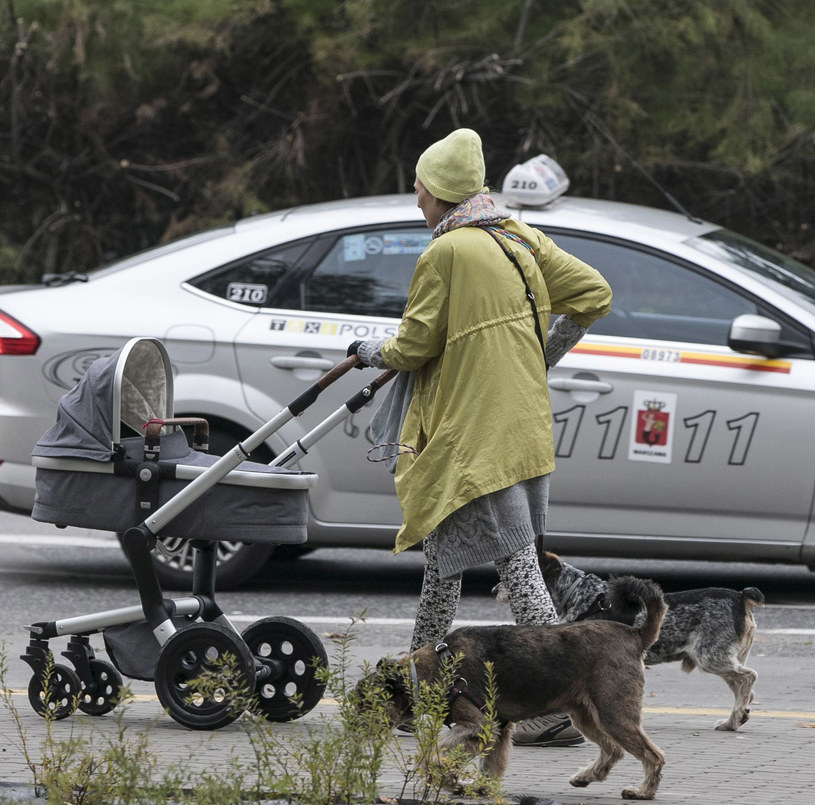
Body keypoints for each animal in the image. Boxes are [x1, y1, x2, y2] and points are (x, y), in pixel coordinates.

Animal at [494, 552, 768, 728]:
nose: (493, 590)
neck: (583, 597)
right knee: (744, 688)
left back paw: (736, 717)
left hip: (711, 656)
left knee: (749, 678)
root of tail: (741, 597)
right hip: (722, 657)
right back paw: (734, 719)